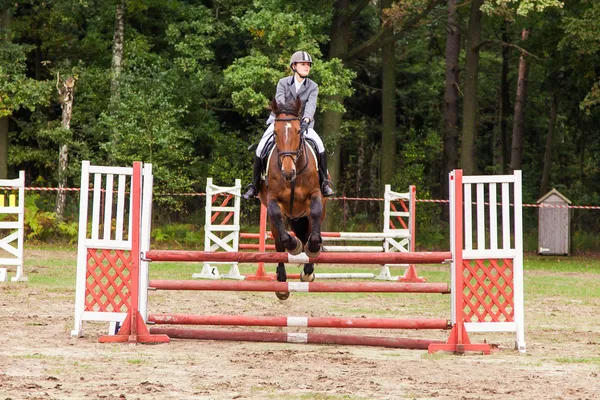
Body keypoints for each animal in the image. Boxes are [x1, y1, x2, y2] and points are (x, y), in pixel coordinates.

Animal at [256, 97, 326, 300]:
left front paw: (313, 248)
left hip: (303, 215)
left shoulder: (315, 195)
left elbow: (315, 222)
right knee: (279, 242)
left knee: (310, 230)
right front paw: (294, 245)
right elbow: (282, 235)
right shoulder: (273, 200)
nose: (288, 172)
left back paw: (308, 270)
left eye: (298, 131)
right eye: (276, 132)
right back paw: (281, 284)